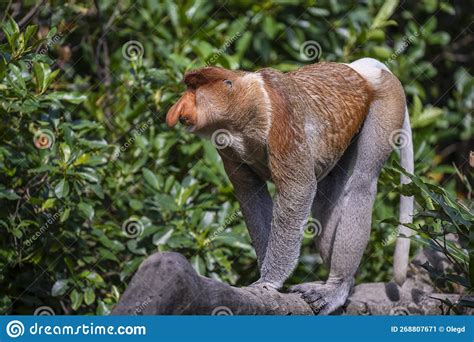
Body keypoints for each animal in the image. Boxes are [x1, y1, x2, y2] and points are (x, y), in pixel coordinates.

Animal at [165, 57, 412, 314]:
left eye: (194, 88)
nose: (176, 109)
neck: (248, 102)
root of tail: (363, 69)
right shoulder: (228, 149)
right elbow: (251, 194)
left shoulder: (283, 119)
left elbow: (298, 188)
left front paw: (268, 281)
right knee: (326, 201)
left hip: (388, 100)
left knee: (362, 184)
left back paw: (336, 287)